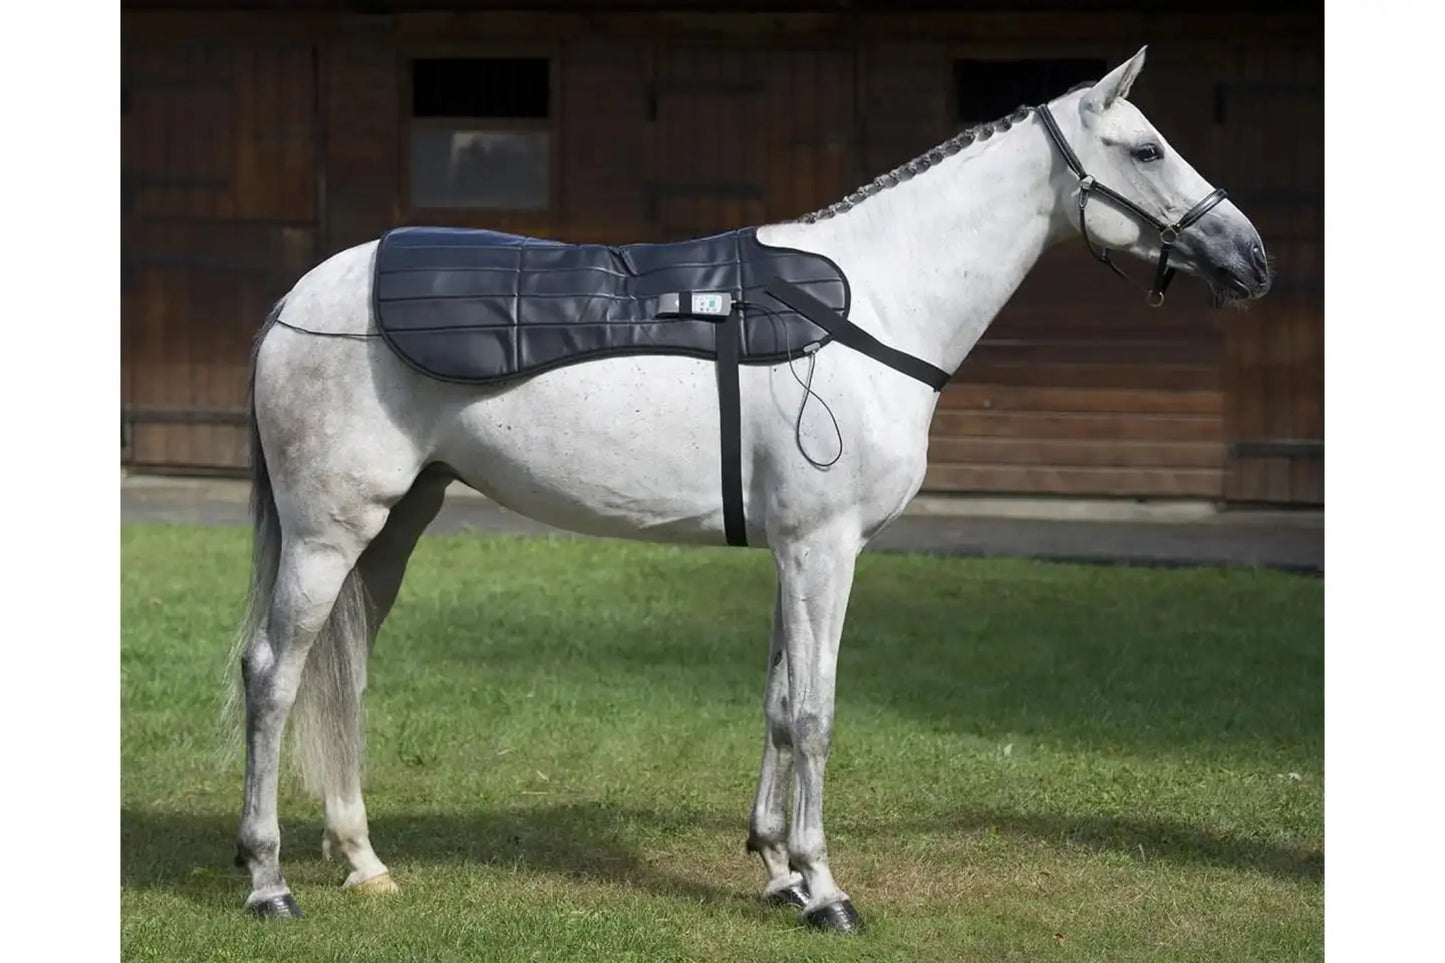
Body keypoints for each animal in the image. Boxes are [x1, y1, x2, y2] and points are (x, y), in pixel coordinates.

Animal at [228, 47, 1271, 932]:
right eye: (1147, 148)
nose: (1251, 257)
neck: (869, 305)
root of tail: (294, 301)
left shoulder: (793, 552)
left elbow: (776, 702)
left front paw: (775, 869)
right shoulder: (823, 548)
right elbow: (813, 712)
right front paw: (826, 888)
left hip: (394, 526)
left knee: (344, 672)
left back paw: (363, 860)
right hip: (329, 531)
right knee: (273, 674)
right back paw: (269, 879)